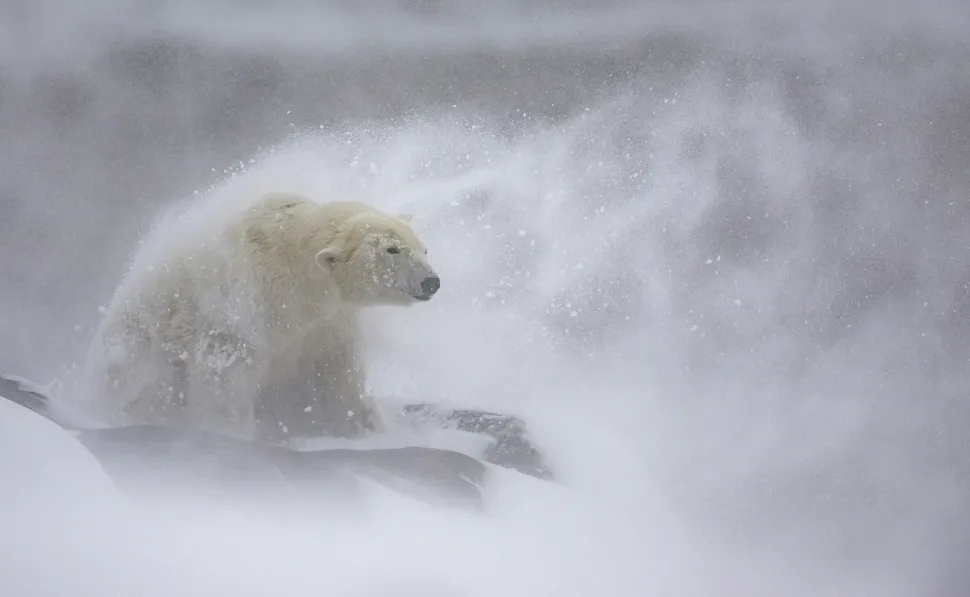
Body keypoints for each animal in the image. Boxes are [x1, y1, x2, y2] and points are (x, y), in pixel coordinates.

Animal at [83, 192, 438, 442]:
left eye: (422, 247)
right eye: (392, 250)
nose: (431, 281)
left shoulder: (328, 322)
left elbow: (338, 373)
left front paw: (368, 426)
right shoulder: (242, 305)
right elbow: (225, 371)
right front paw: (232, 434)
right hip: (138, 344)